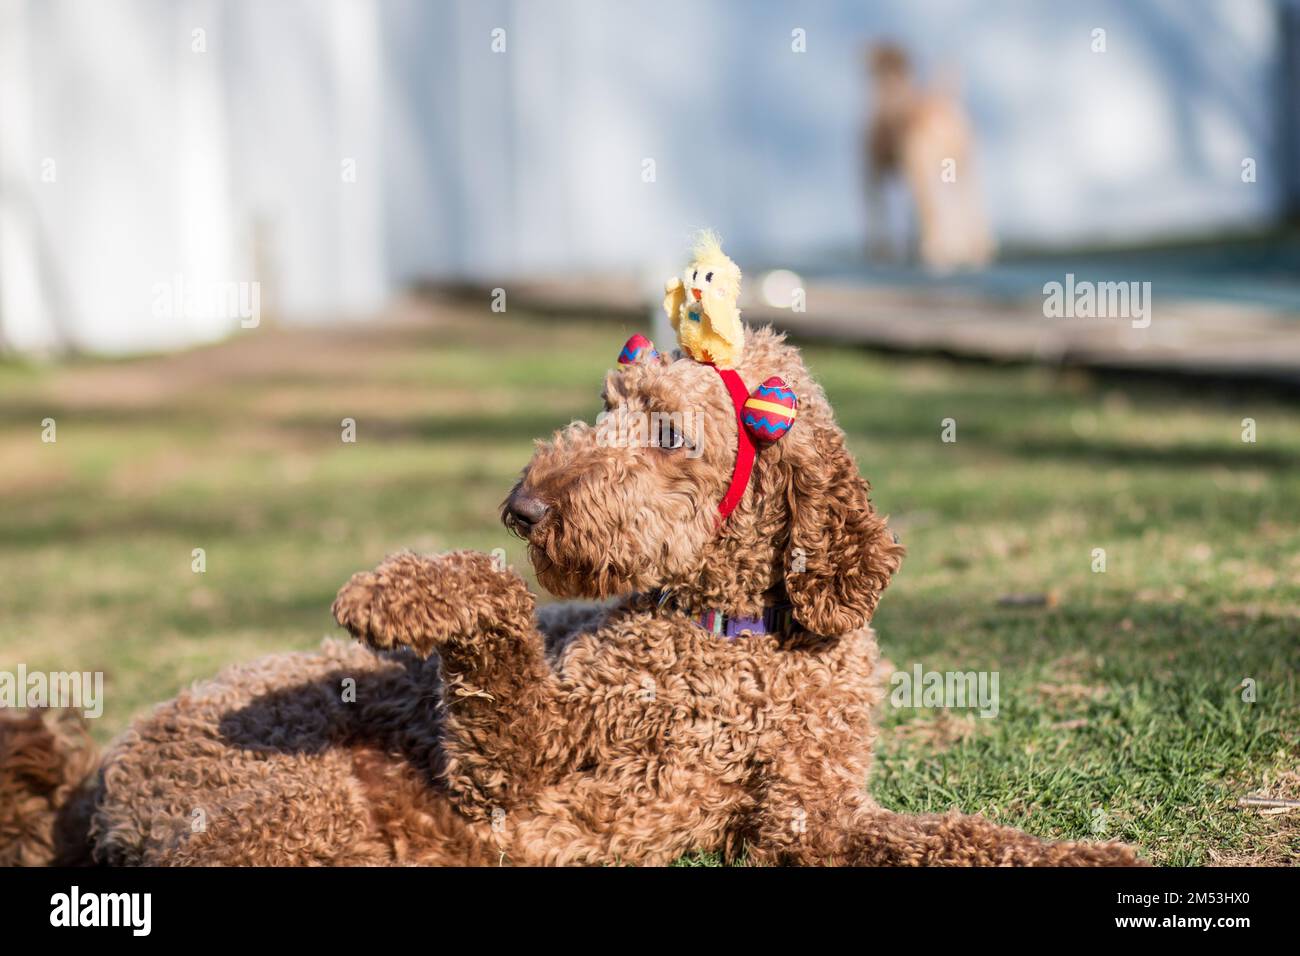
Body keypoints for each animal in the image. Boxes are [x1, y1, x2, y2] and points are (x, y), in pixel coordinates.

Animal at [0, 327, 1138, 868]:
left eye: (668, 430)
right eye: (604, 403)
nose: (521, 505)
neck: (736, 639)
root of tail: (92, 781)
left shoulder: (807, 818)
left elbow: (962, 836)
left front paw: (1086, 851)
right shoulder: (512, 767)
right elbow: (500, 629)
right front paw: (407, 585)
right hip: (302, 808)